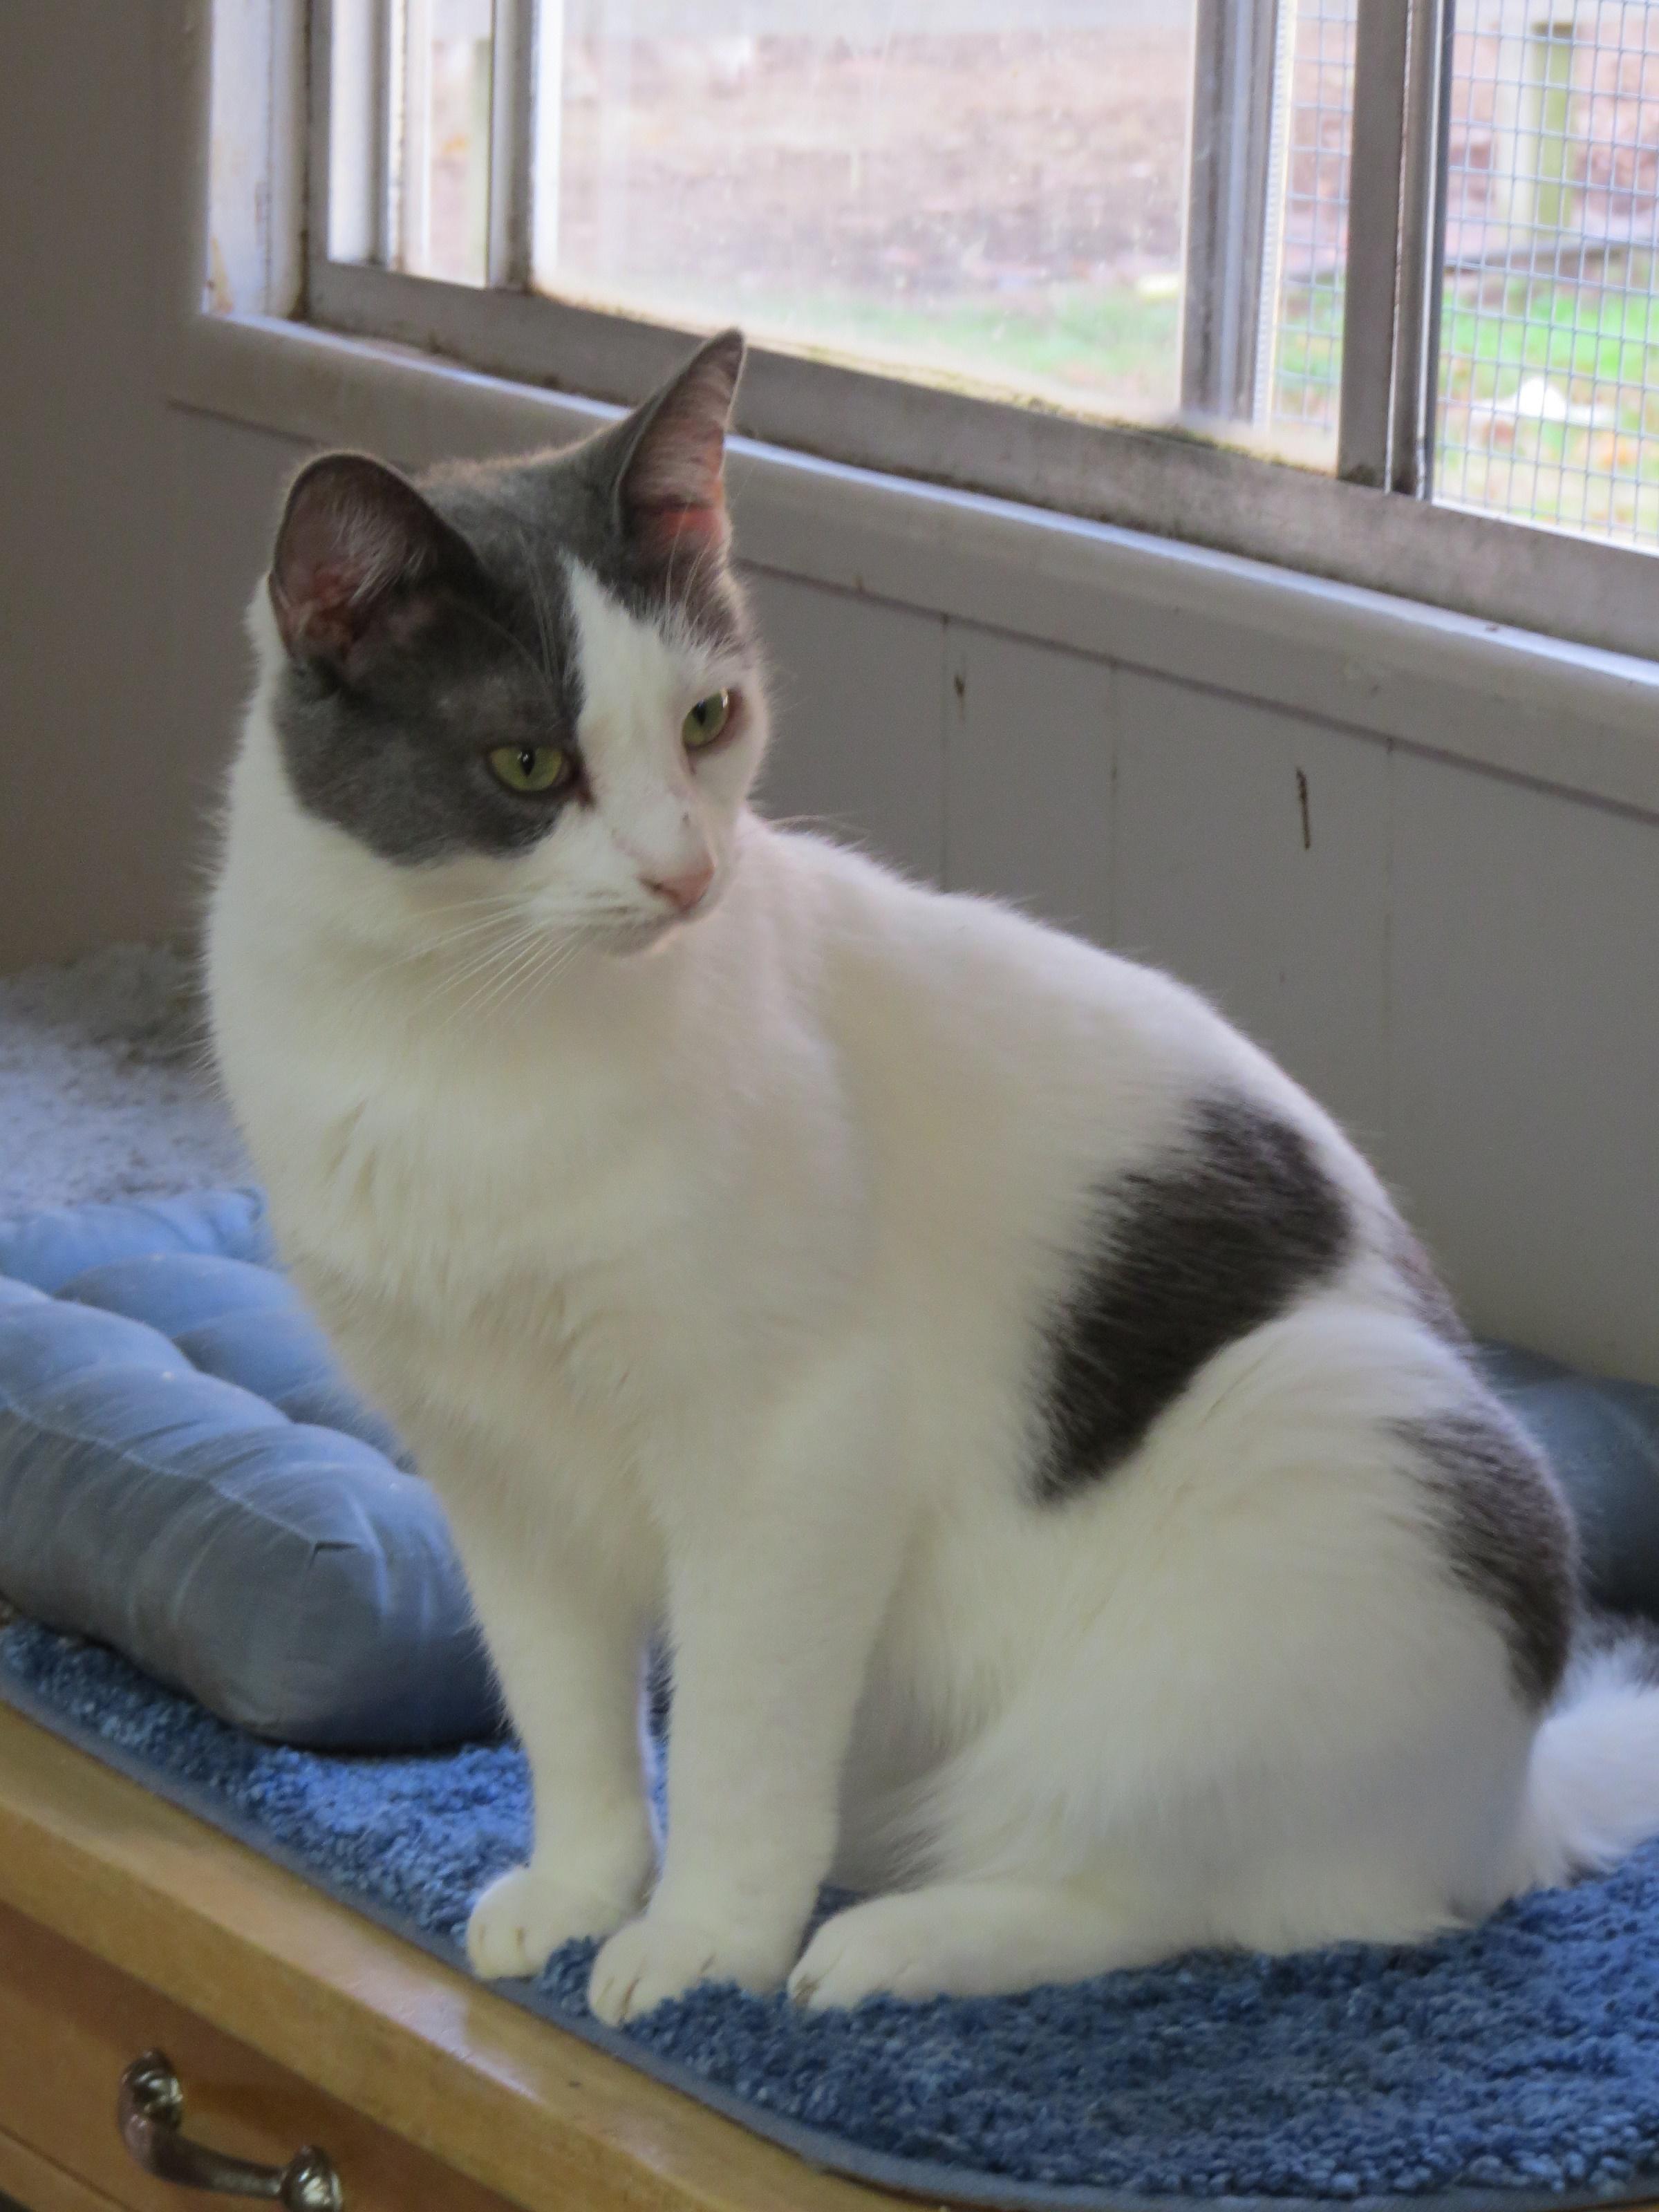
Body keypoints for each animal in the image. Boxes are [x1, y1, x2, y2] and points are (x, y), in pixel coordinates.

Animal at [205, 327, 1659, 2026]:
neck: (465, 1039)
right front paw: (579, 1891)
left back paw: (891, 1945)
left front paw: (705, 1945)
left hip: (1331, 1457)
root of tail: (1506, 1804)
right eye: (528, 762)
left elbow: (739, 1739)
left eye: (707, 720)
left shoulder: (794, 1452)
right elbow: (565, 1713)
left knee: (1181, 1898)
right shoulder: (496, 1473)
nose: (687, 874)